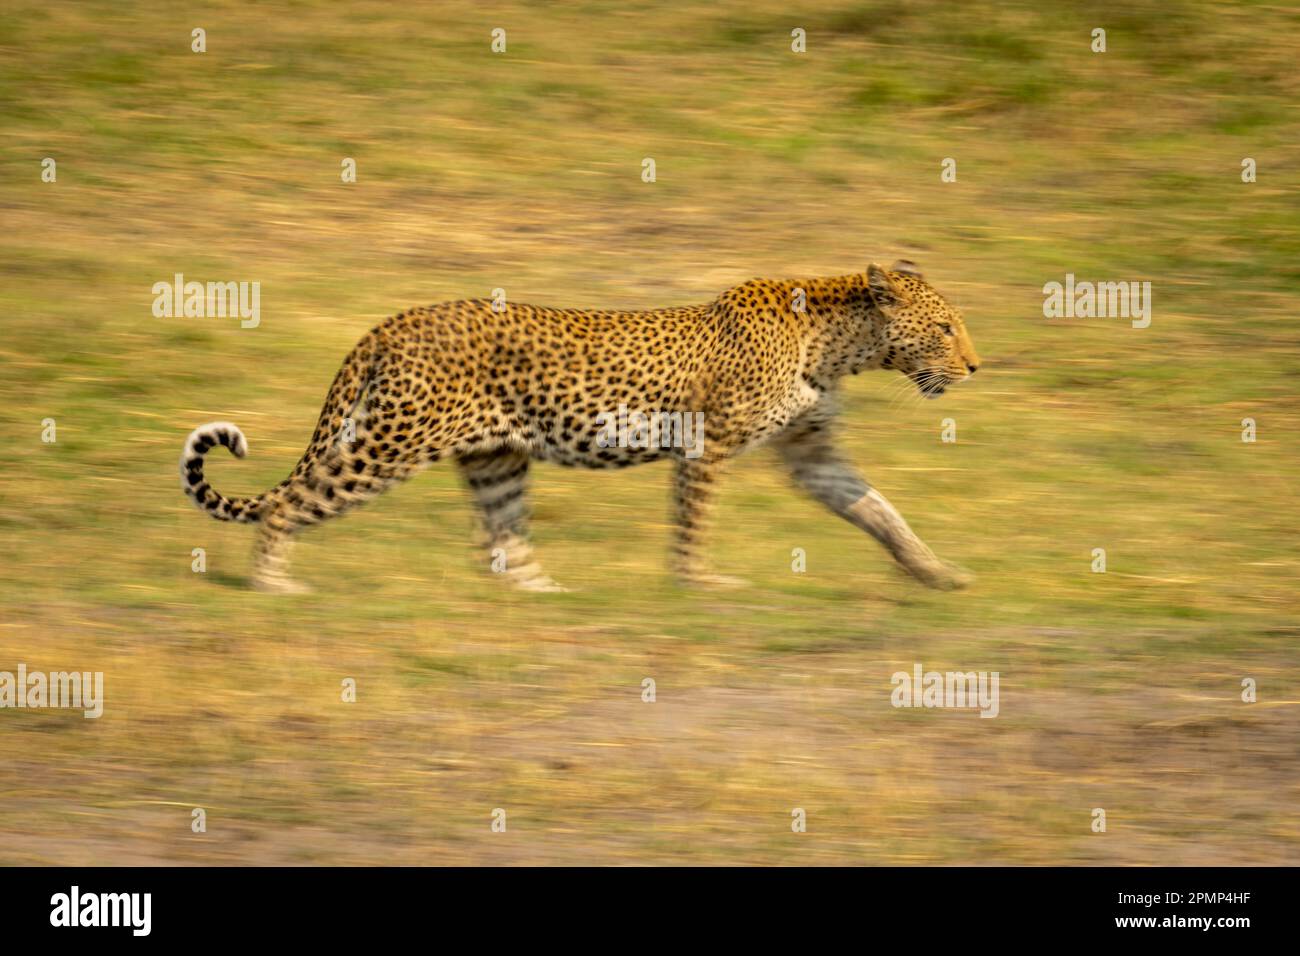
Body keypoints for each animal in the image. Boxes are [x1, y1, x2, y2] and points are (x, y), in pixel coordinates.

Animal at [178, 257, 977, 595]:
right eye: (944, 328)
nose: (976, 366)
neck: (841, 346)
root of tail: (393, 322)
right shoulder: (708, 444)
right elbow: (696, 520)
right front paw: (699, 582)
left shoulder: (812, 455)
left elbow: (879, 511)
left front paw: (935, 571)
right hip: (390, 445)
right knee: (289, 503)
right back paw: (273, 584)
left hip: (495, 455)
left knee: (500, 537)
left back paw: (548, 595)